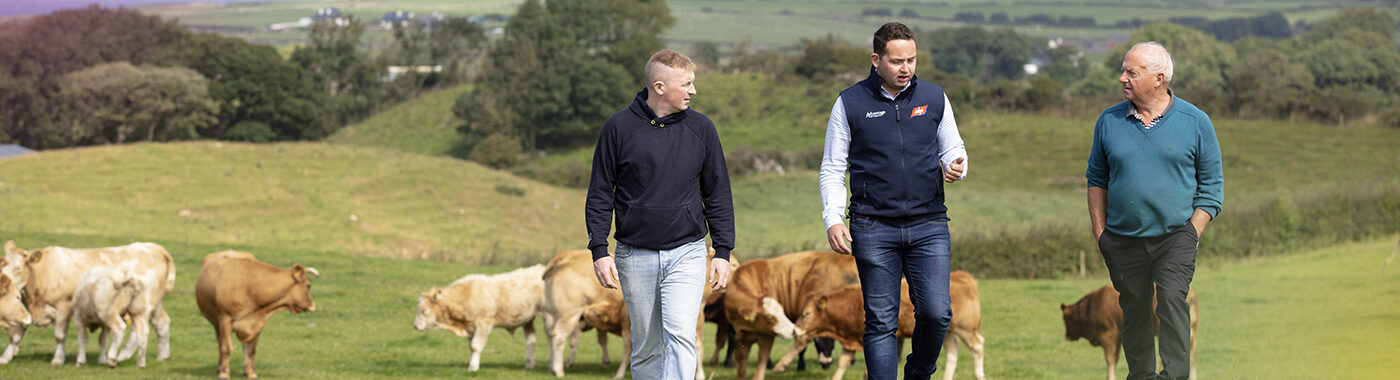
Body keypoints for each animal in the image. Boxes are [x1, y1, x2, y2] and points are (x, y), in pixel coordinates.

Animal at [722, 249, 862, 380]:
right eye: (769, 317)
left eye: (781, 312)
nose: (826, 363)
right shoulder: (740, 336)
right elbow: (741, 365)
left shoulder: (768, 335)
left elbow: (762, 359)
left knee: (803, 338)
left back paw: (782, 364)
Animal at [789, 270, 985, 380]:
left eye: (806, 314)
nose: (795, 330)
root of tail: (962, 276)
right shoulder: (851, 341)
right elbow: (842, 364)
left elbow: (865, 370)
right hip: (947, 332)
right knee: (953, 351)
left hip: (965, 329)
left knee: (977, 346)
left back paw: (979, 375)